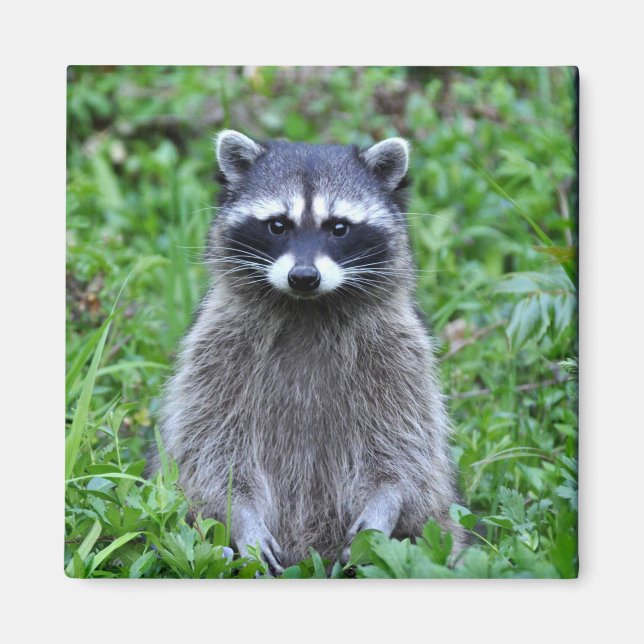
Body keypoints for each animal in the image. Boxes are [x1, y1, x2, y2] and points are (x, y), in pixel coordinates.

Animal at [160, 130, 464, 573]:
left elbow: (404, 449)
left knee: (435, 533)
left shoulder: (399, 351)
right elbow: (213, 447)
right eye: (277, 226)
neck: (308, 307)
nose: (303, 277)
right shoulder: (217, 346)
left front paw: (385, 501)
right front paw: (243, 516)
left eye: (338, 228)